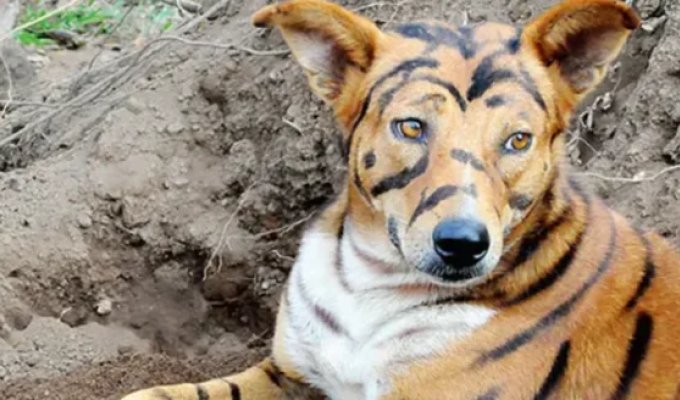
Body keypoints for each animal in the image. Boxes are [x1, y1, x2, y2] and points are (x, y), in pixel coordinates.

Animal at [122, 0, 680, 398]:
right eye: (411, 127)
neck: (369, 283)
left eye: (517, 140)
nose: (463, 244)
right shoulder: (289, 372)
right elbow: (162, 394)